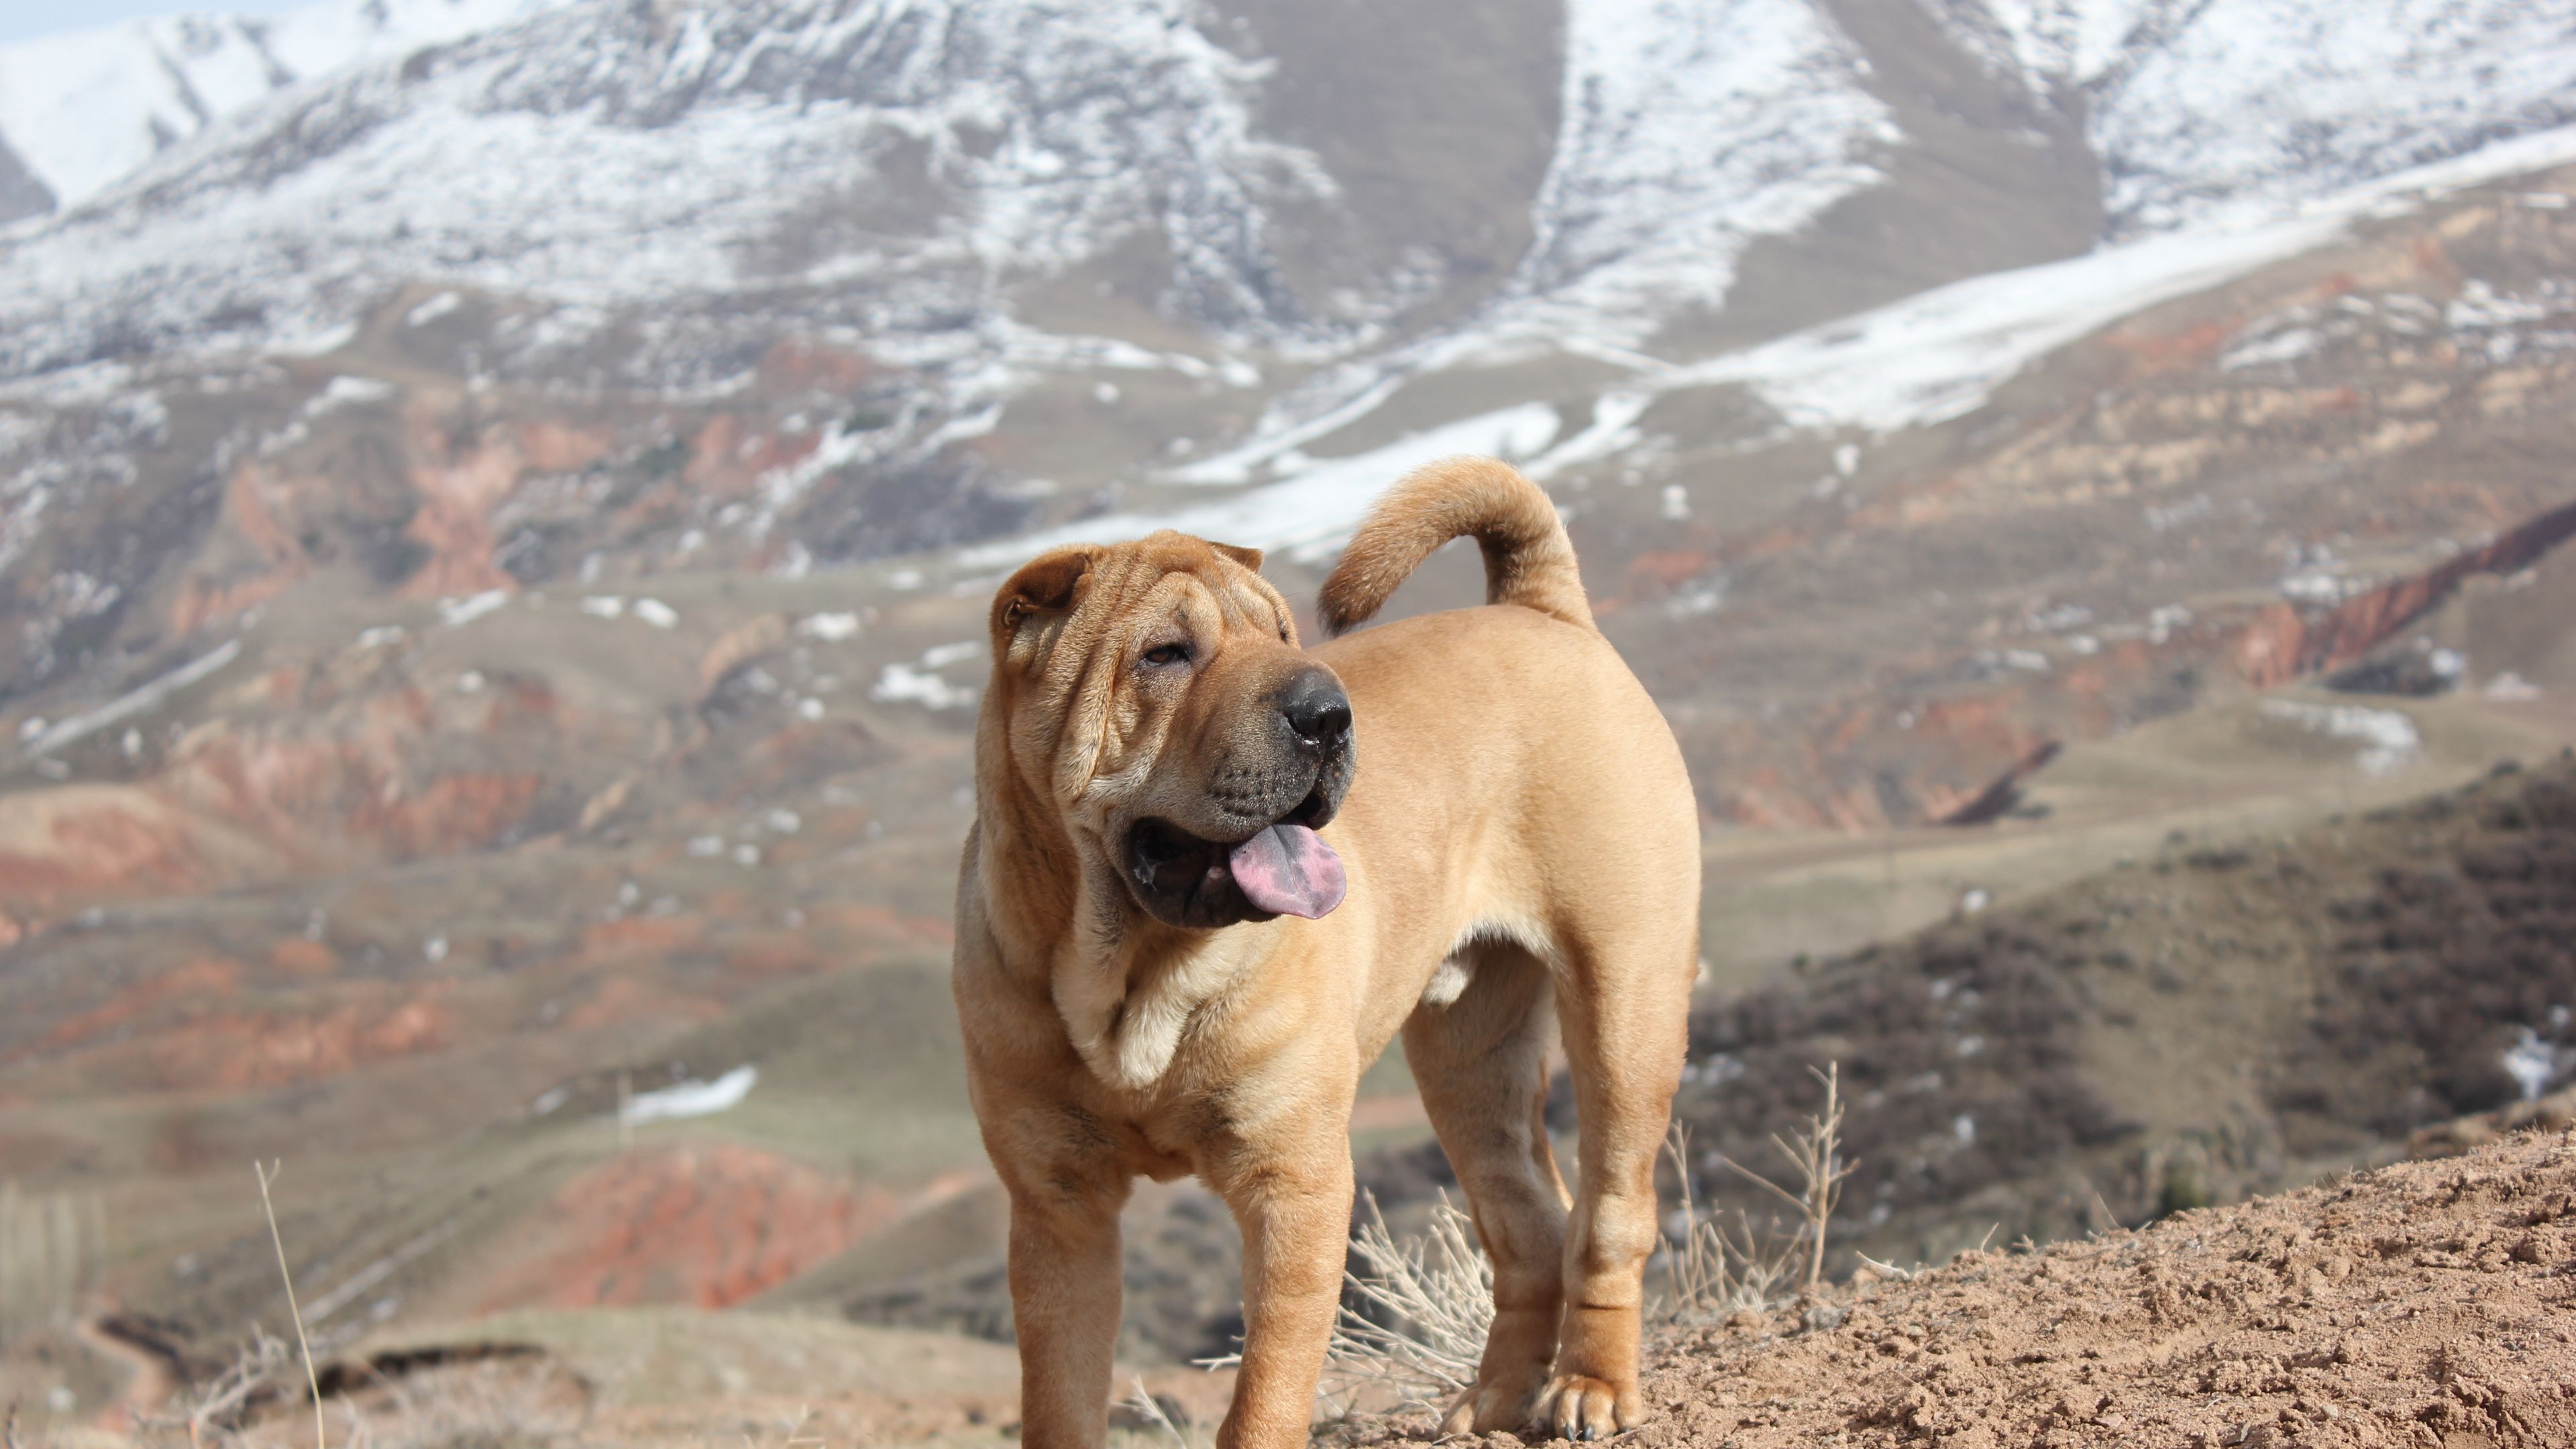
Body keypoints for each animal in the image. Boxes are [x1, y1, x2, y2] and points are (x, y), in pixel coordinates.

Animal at [958, 456, 1700, 1433]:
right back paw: (1492, 1401)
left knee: (1613, 1212)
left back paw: (1591, 1387)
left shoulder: (1294, 1183)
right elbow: (1061, 1400)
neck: (1131, 974)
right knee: (1530, 1224)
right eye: (1165, 653)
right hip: (1470, 1062)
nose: (1327, 713)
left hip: (1625, 1008)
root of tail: (1544, 611)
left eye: (1281, 633)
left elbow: (1265, 1392)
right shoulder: (1058, 1207)